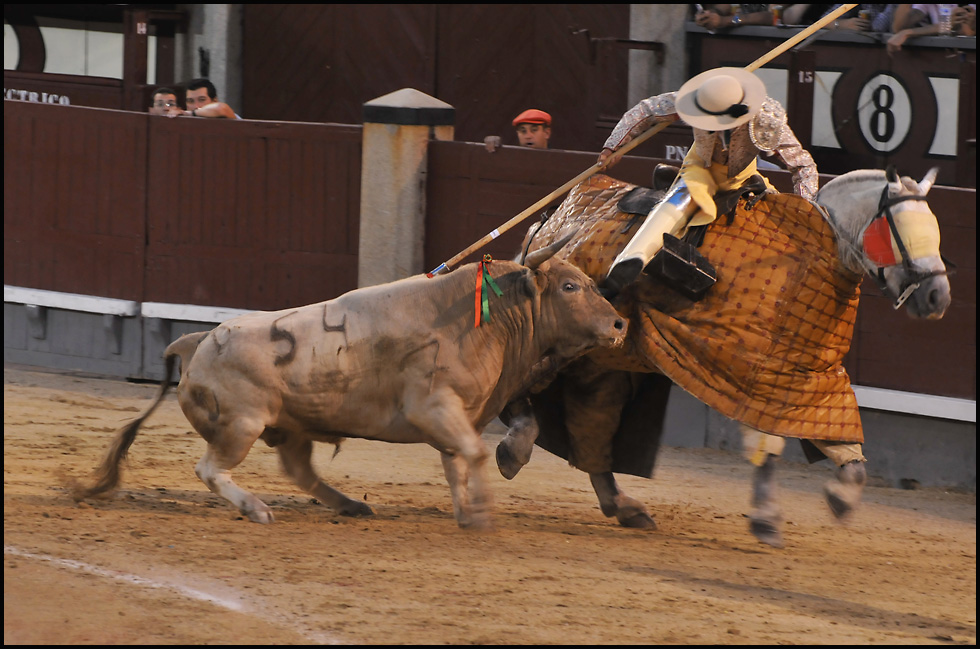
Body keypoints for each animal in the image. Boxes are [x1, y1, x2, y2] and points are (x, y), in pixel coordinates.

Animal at [76, 235, 628, 528]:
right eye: (570, 286)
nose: (621, 324)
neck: (486, 318)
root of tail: (196, 341)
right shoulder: (435, 408)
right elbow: (470, 455)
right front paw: (484, 511)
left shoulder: (457, 416)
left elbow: (457, 464)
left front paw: (468, 513)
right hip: (242, 425)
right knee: (210, 468)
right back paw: (257, 509)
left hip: (291, 427)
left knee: (299, 471)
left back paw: (350, 504)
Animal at [494, 167, 952, 548]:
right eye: (903, 234)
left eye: (936, 233)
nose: (938, 297)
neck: (814, 255)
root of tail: (554, 217)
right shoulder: (751, 373)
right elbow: (768, 446)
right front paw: (767, 520)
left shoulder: (804, 382)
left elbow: (845, 451)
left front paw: (838, 500)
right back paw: (513, 449)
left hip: (607, 364)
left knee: (591, 424)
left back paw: (623, 505)